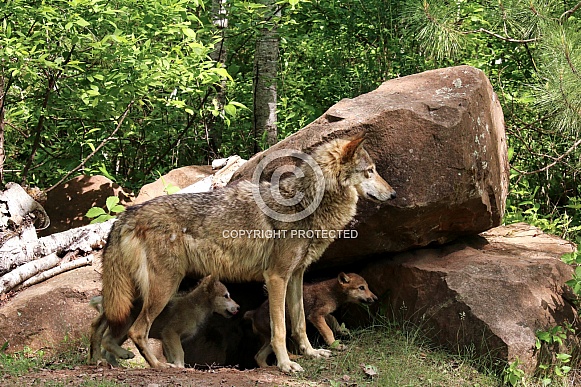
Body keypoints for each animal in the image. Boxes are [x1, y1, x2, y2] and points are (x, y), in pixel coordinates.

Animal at [89, 276, 238, 366]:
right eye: (226, 296)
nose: (238, 307)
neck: (196, 306)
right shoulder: (171, 332)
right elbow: (180, 352)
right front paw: (179, 366)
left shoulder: (166, 338)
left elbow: (170, 354)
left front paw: (172, 364)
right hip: (126, 325)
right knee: (107, 340)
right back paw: (125, 354)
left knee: (107, 348)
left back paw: (116, 363)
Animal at [244, 272, 376, 366]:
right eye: (361, 287)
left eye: (367, 287)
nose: (375, 298)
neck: (332, 292)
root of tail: (254, 313)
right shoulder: (315, 315)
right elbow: (328, 331)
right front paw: (335, 345)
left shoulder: (324, 314)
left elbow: (334, 321)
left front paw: (343, 331)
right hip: (283, 333)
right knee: (283, 350)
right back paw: (296, 359)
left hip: (267, 340)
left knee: (259, 356)